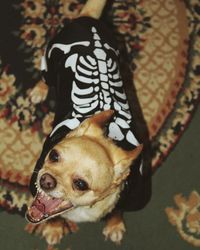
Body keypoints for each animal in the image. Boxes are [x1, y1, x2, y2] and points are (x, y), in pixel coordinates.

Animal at [26, 0, 148, 246]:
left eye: (80, 184)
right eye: (53, 155)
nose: (45, 180)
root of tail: (88, 18)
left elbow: (116, 210)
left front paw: (114, 225)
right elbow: (51, 215)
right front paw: (54, 228)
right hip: (50, 62)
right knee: (45, 78)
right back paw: (39, 91)